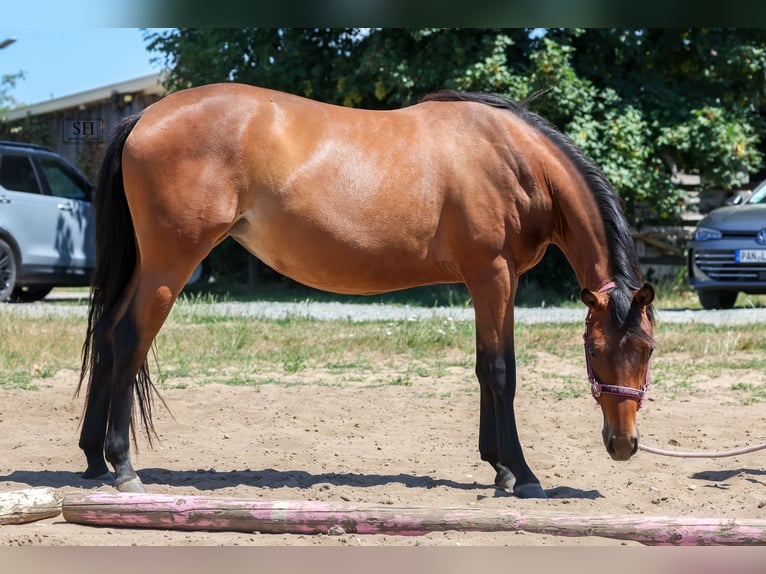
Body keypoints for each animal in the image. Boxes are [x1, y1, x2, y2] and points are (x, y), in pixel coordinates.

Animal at [78, 84, 655, 499]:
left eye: (648, 350)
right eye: (595, 350)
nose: (623, 445)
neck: (514, 158)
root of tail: (142, 119)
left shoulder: (491, 281)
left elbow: (483, 367)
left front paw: (498, 467)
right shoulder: (492, 275)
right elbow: (500, 371)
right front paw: (521, 473)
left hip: (148, 266)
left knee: (106, 335)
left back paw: (92, 460)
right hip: (168, 265)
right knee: (128, 340)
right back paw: (123, 467)